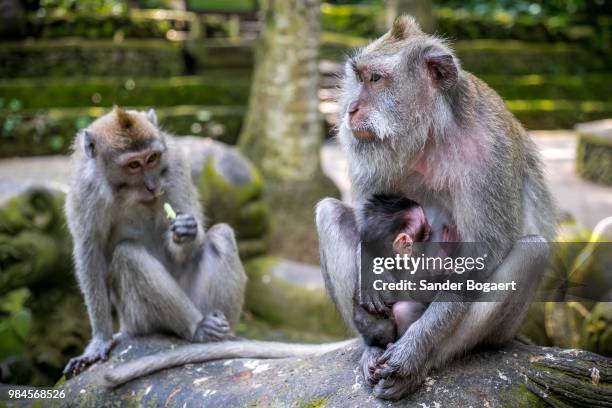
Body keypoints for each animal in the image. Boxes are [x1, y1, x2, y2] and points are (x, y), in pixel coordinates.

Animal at [63, 107, 350, 386]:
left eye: (153, 158)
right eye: (133, 164)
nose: (153, 185)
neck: (126, 191)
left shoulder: (175, 165)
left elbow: (193, 230)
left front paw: (186, 231)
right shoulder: (84, 189)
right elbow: (90, 252)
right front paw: (100, 340)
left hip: (199, 297)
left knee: (221, 235)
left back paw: (221, 334)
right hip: (138, 318)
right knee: (128, 254)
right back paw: (197, 327)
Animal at [318, 16, 556, 402]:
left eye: (376, 79)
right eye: (359, 77)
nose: (349, 109)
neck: (430, 131)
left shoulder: (490, 155)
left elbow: (479, 258)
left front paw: (415, 352)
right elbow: (364, 217)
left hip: (502, 330)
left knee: (532, 250)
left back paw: (422, 361)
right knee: (328, 211)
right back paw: (372, 344)